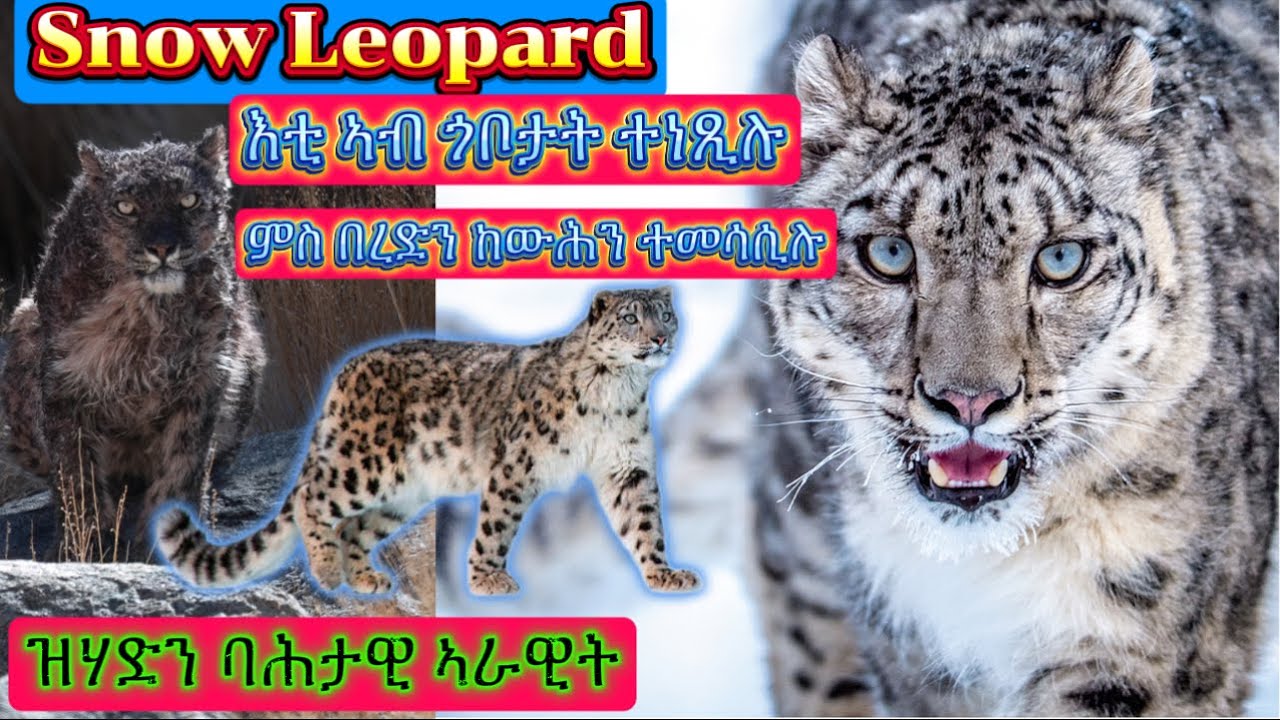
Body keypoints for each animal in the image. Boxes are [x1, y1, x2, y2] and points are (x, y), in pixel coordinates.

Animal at [1, 126, 266, 553]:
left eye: (189, 200)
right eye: (125, 207)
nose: (161, 248)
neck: (148, 313)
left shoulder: (202, 375)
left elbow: (183, 462)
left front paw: (163, 544)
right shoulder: (66, 379)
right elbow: (76, 472)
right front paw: (84, 547)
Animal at [155, 286, 702, 597]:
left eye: (666, 315)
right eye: (631, 318)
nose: (659, 338)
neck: (618, 393)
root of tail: (347, 372)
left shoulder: (627, 467)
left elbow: (644, 524)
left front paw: (663, 573)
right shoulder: (515, 465)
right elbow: (497, 525)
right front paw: (487, 579)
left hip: (401, 493)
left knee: (356, 529)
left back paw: (365, 579)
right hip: (365, 466)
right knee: (313, 498)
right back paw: (328, 572)